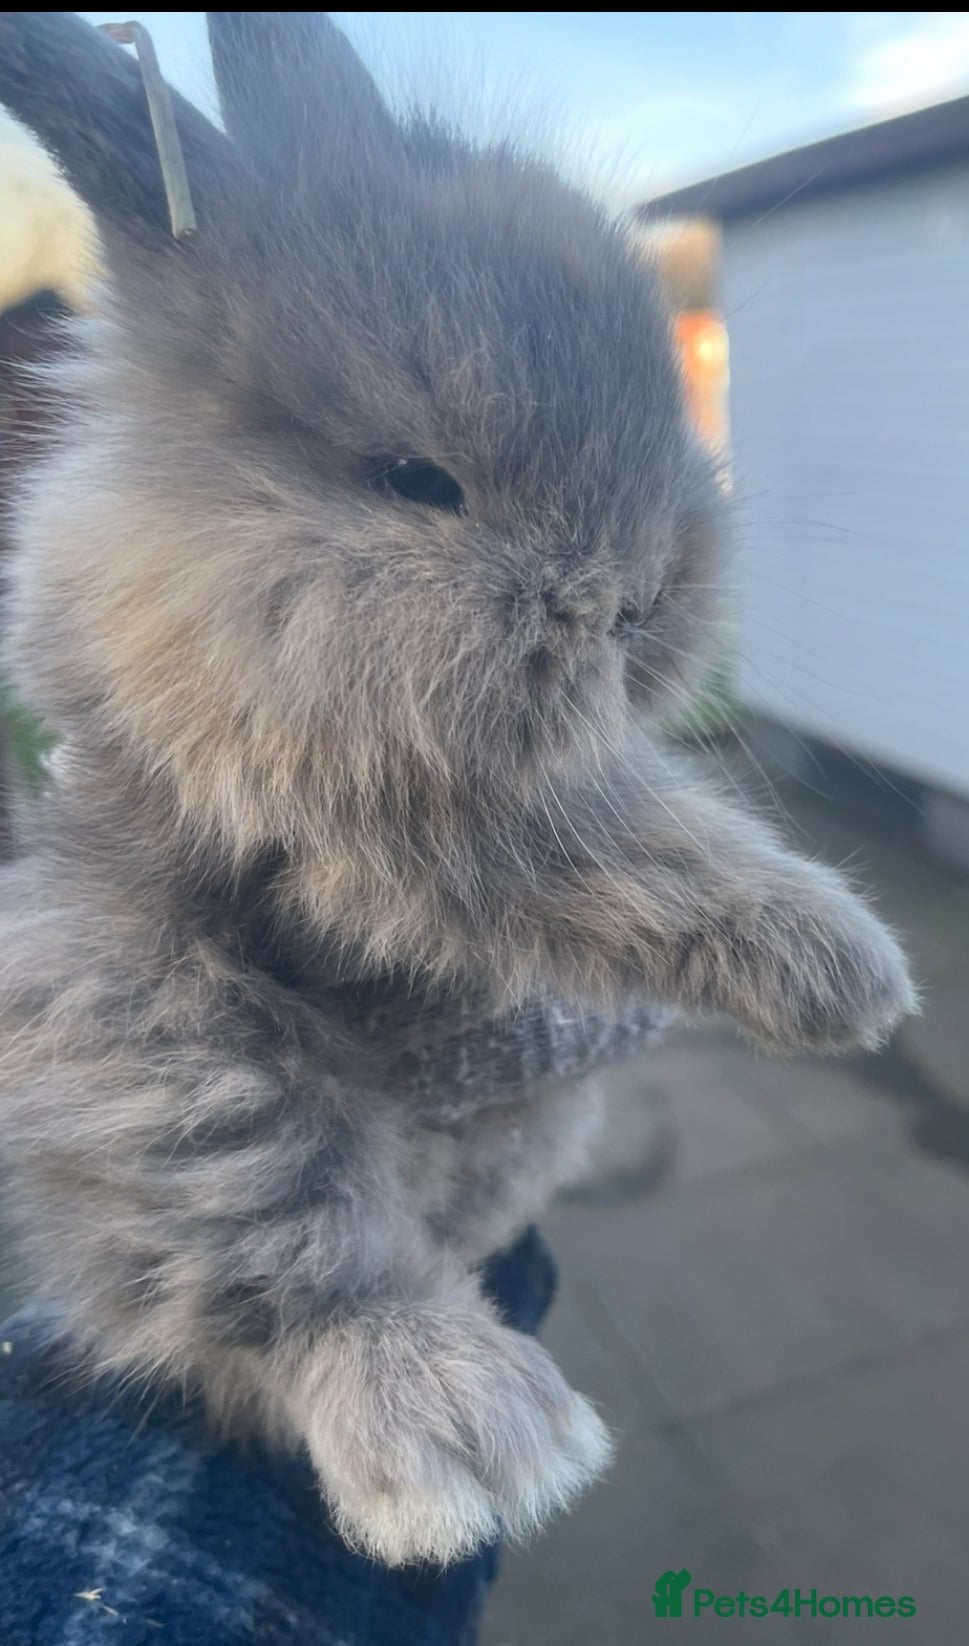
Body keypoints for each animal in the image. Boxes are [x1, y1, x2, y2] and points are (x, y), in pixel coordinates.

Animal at [0, 11, 915, 1568]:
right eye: (415, 476)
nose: (632, 601)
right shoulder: (383, 815)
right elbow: (633, 847)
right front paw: (852, 975)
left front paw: (847, 986)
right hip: (164, 1068)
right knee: (291, 1279)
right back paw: (469, 1431)